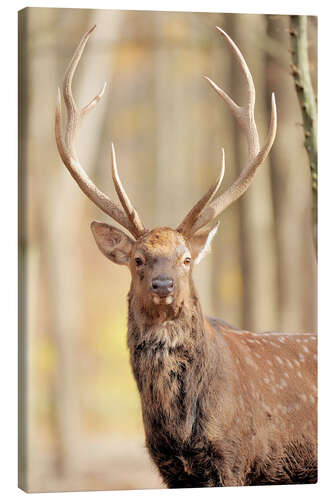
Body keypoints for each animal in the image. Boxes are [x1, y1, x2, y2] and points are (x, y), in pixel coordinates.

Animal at [54, 25, 316, 486]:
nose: (164, 284)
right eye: (138, 259)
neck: (181, 431)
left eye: (186, 259)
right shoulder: (168, 467)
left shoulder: (234, 458)